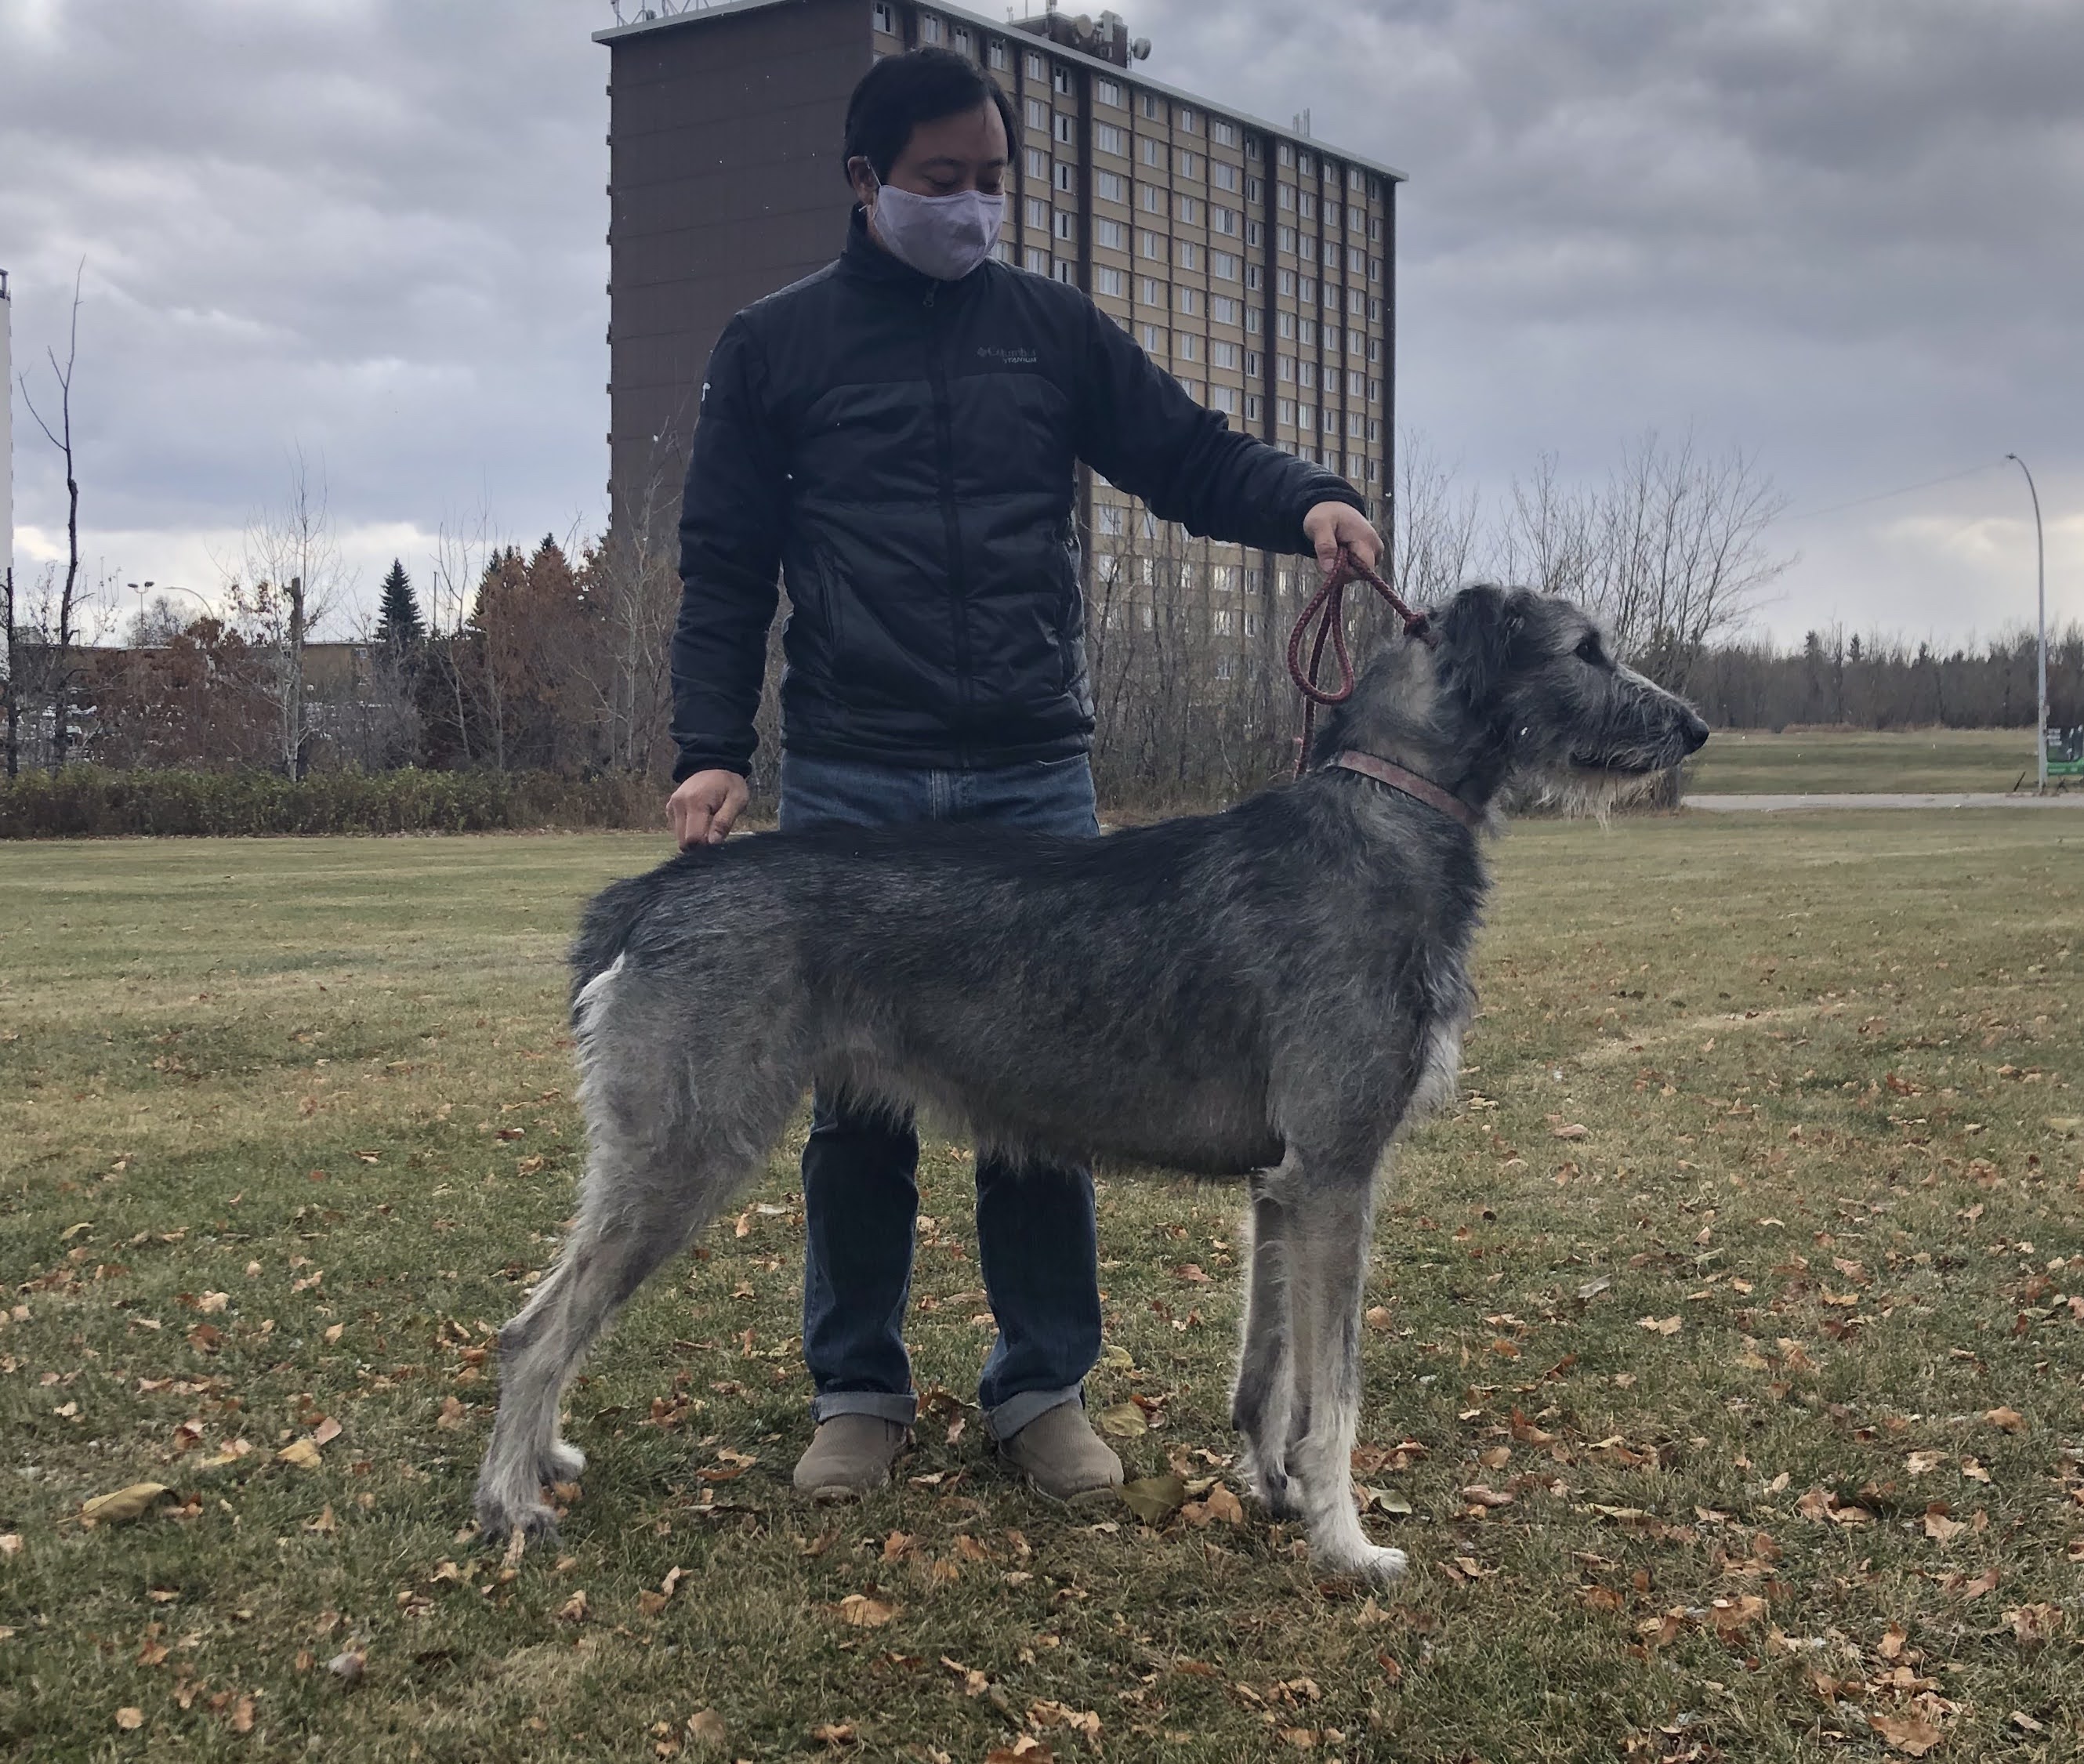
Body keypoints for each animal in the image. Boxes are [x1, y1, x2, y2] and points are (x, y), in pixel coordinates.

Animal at [473, 583, 1709, 1582]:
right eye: (1586, 648)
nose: (1694, 725)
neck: (1385, 814)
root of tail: (649, 894)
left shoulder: (1283, 1184)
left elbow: (1267, 1373)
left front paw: (1272, 1490)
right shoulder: (1338, 1173)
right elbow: (1337, 1394)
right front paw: (1348, 1544)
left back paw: (543, 1458)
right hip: (684, 1151)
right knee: (533, 1329)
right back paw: (511, 1503)